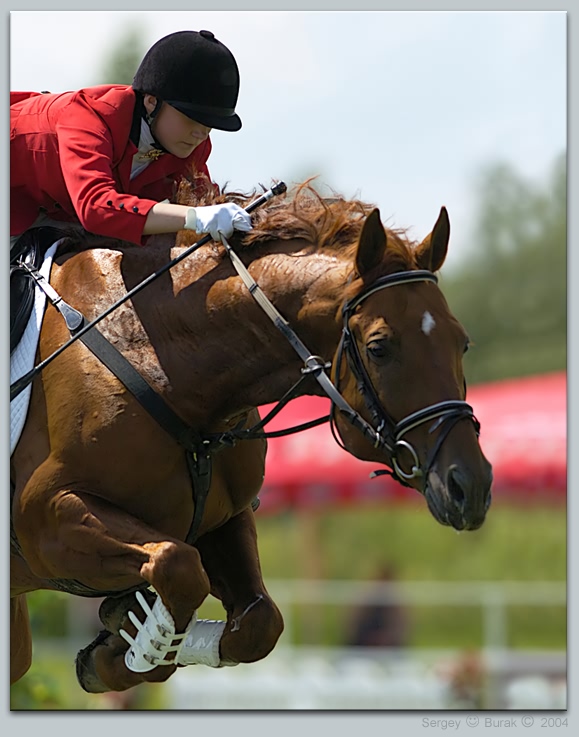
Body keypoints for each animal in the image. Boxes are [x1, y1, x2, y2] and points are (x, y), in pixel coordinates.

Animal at [9, 178, 494, 688]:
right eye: (379, 347)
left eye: (462, 342)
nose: (470, 487)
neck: (157, 354)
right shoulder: (46, 520)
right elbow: (178, 566)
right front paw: (133, 648)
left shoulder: (225, 518)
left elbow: (258, 622)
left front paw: (133, 635)